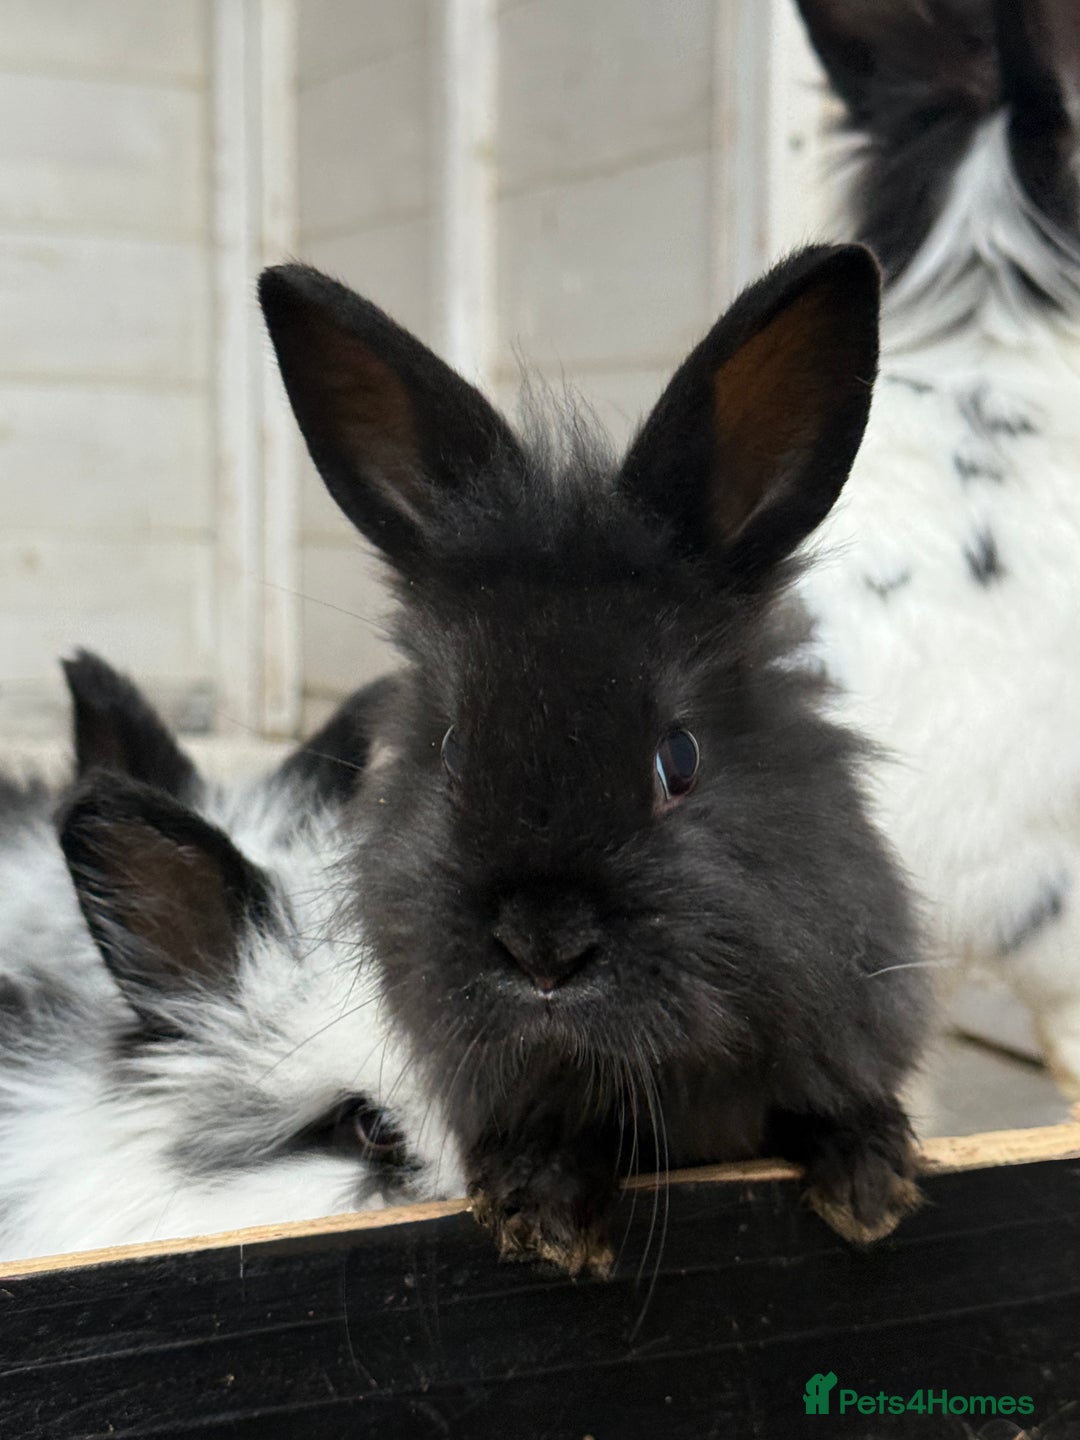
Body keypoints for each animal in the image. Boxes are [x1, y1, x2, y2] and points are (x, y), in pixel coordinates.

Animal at [258, 242, 933, 1276]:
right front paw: (542, 1218)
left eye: (678, 759)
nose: (544, 948)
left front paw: (871, 1190)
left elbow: (836, 1103)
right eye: (451, 748)